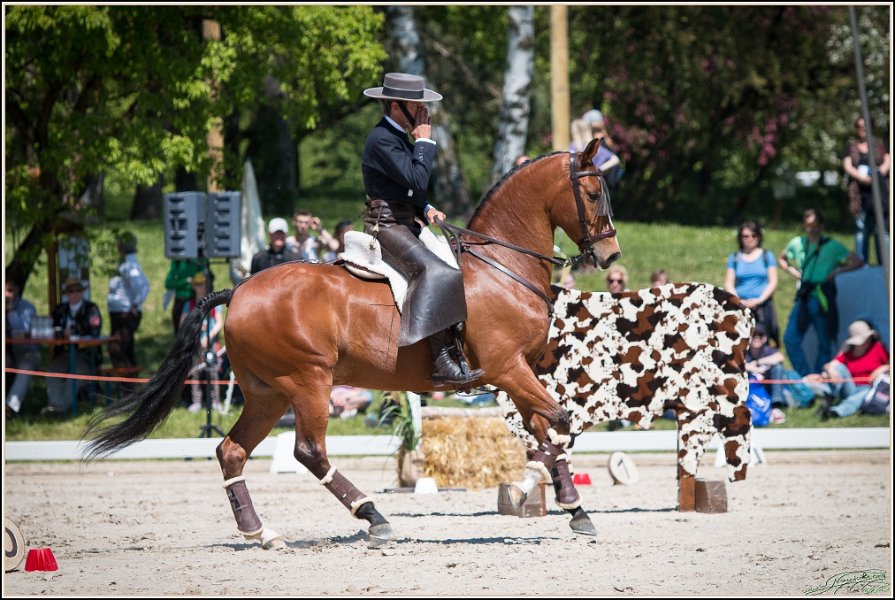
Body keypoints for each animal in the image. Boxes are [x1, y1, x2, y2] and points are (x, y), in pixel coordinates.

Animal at [84, 139, 622, 546]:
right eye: (594, 192)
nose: (611, 255)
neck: (501, 268)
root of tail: (237, 290)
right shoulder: (507, 368)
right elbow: (560, 422)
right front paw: (548, 495)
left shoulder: (519, 372)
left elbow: (546, 430)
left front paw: (571, 506)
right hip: (308, 382)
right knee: (309, 451)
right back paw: (373, 517)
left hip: (265, 393)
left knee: (232, 451)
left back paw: (263, 533)